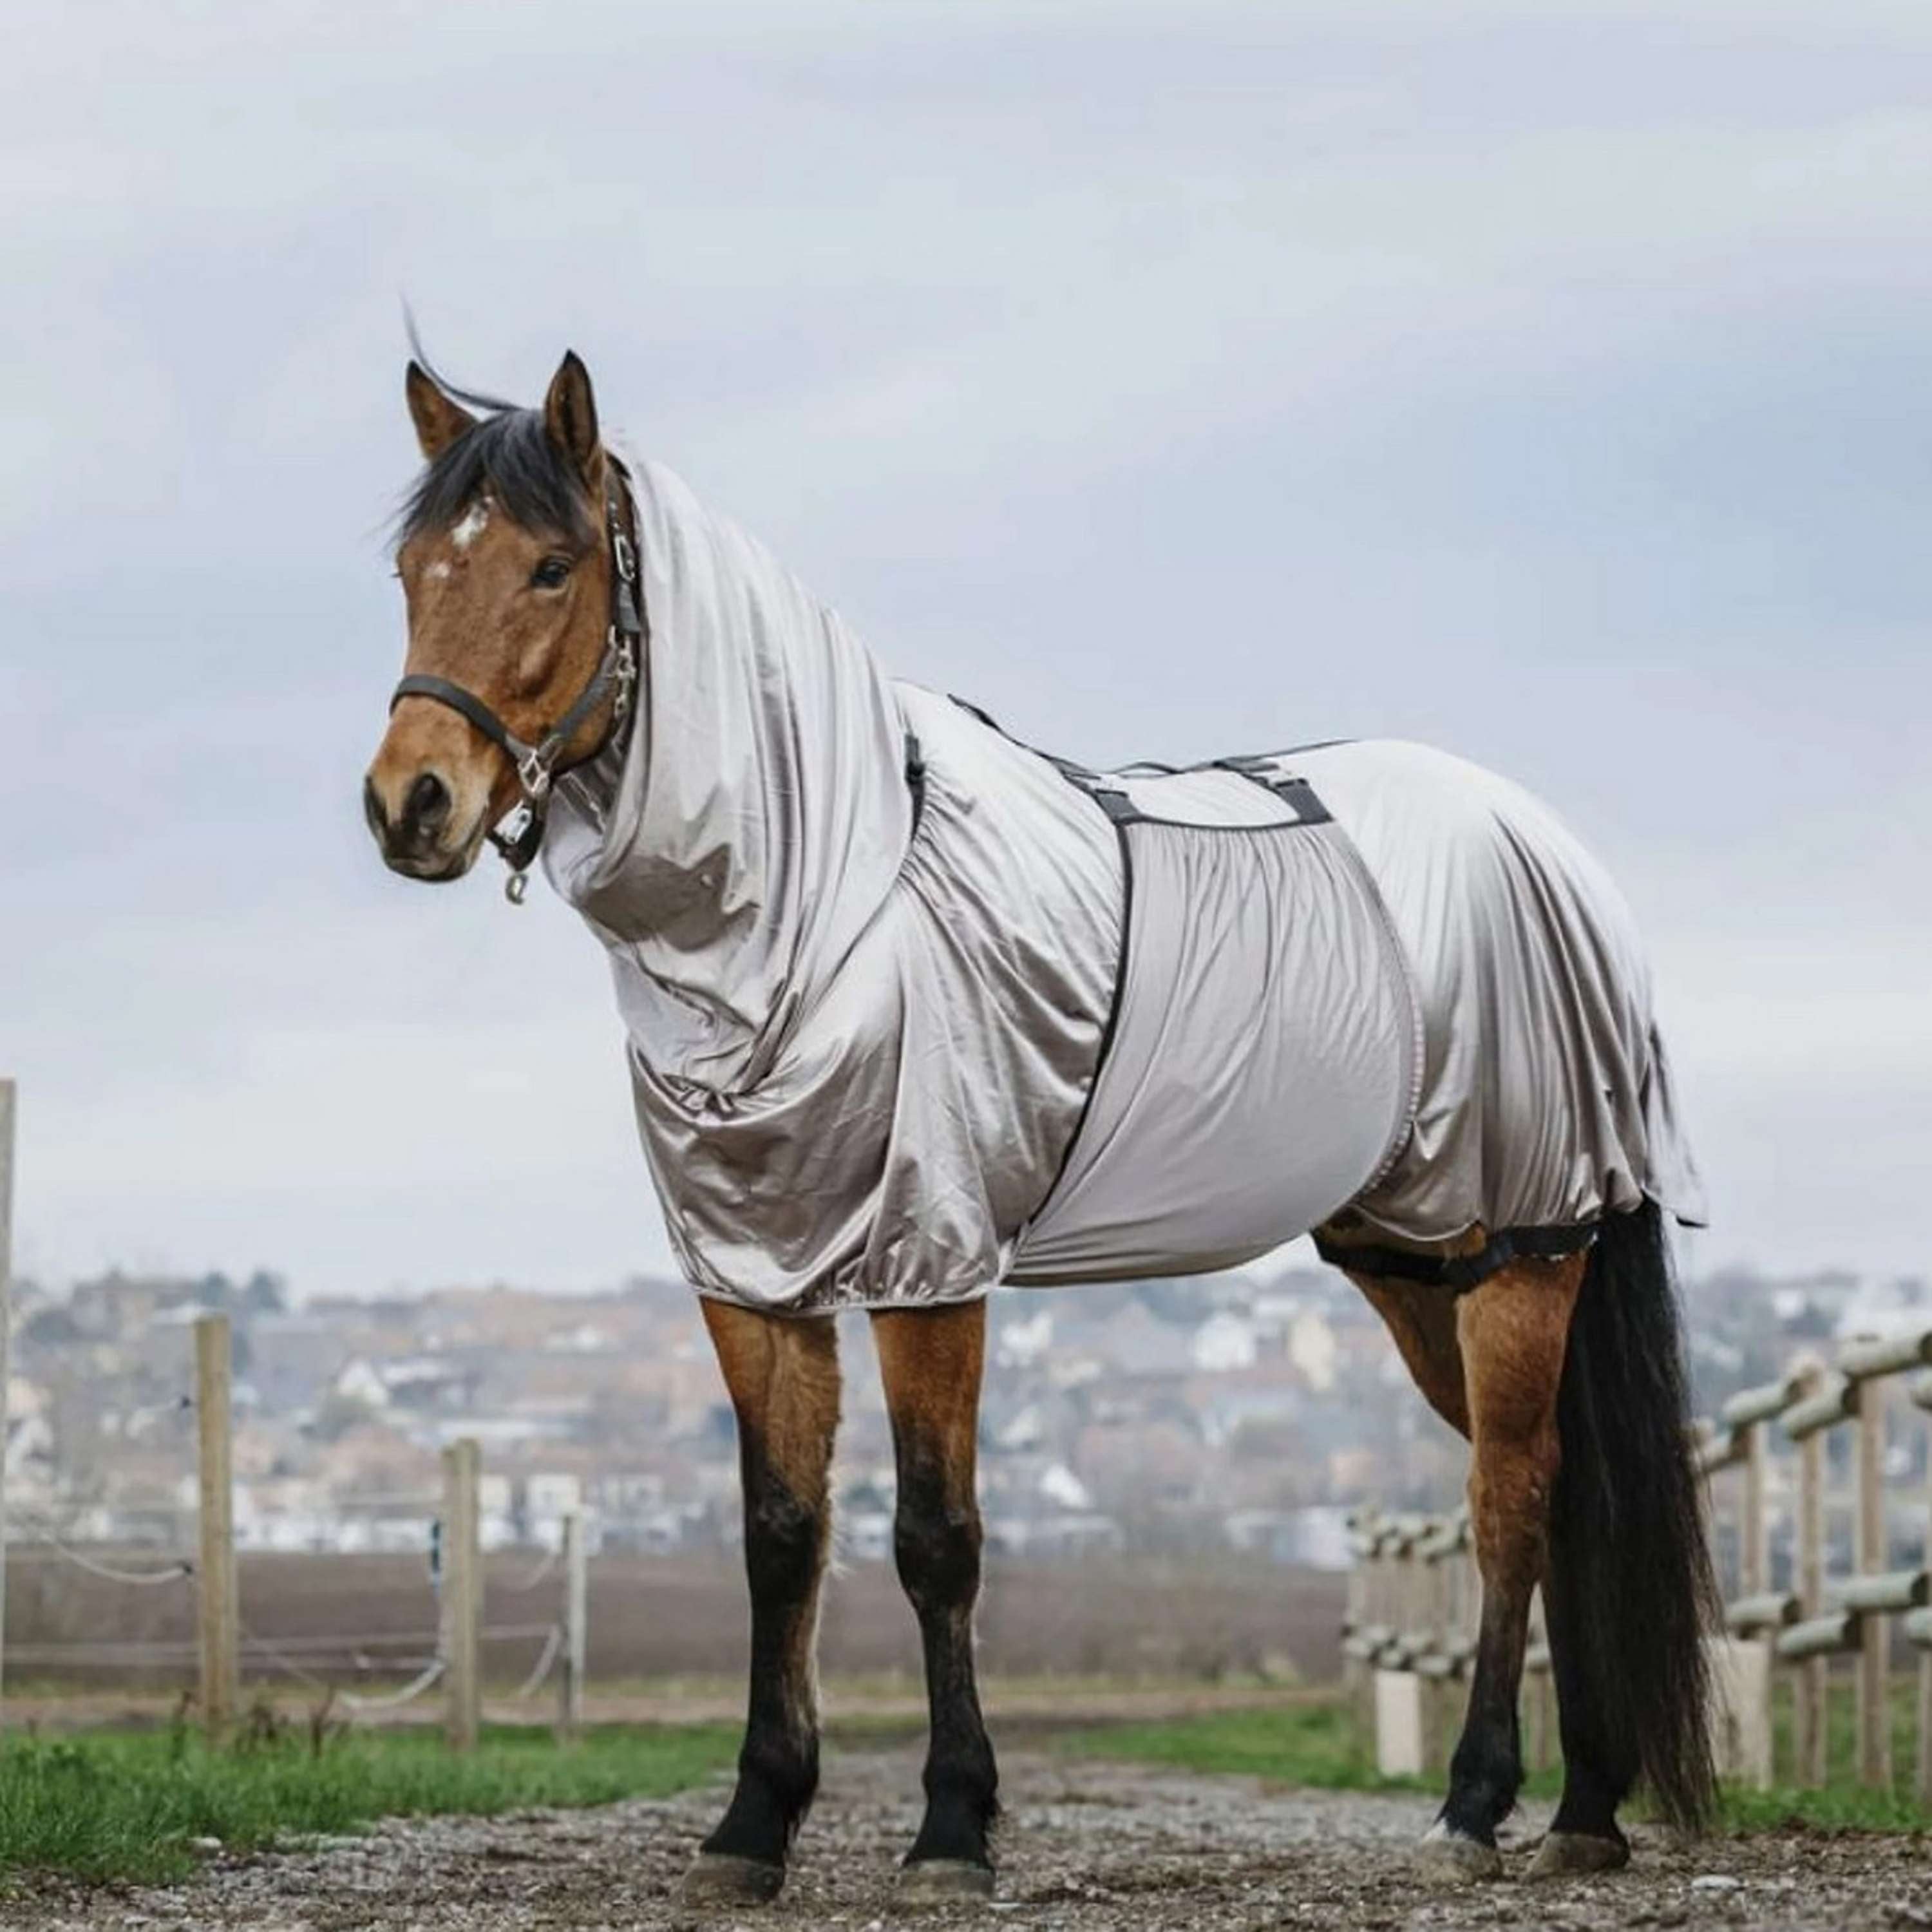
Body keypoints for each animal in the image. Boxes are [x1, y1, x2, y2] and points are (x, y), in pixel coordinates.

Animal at [364, 347, 1718, 1905]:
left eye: (550, 565)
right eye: (410, 567)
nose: (410, 804)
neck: (830, 894)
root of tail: (1545, 846)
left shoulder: (929, 1258)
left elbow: (934, 1539)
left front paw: (952, 1826)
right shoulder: (754, 1269)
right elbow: (783, 1539)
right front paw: (754, 1824)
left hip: (1529, 1246)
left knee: (1513, 1497)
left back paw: (1484, 1802)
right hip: (1420, 1256)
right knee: (1561, 1496)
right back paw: (1584, 1807)